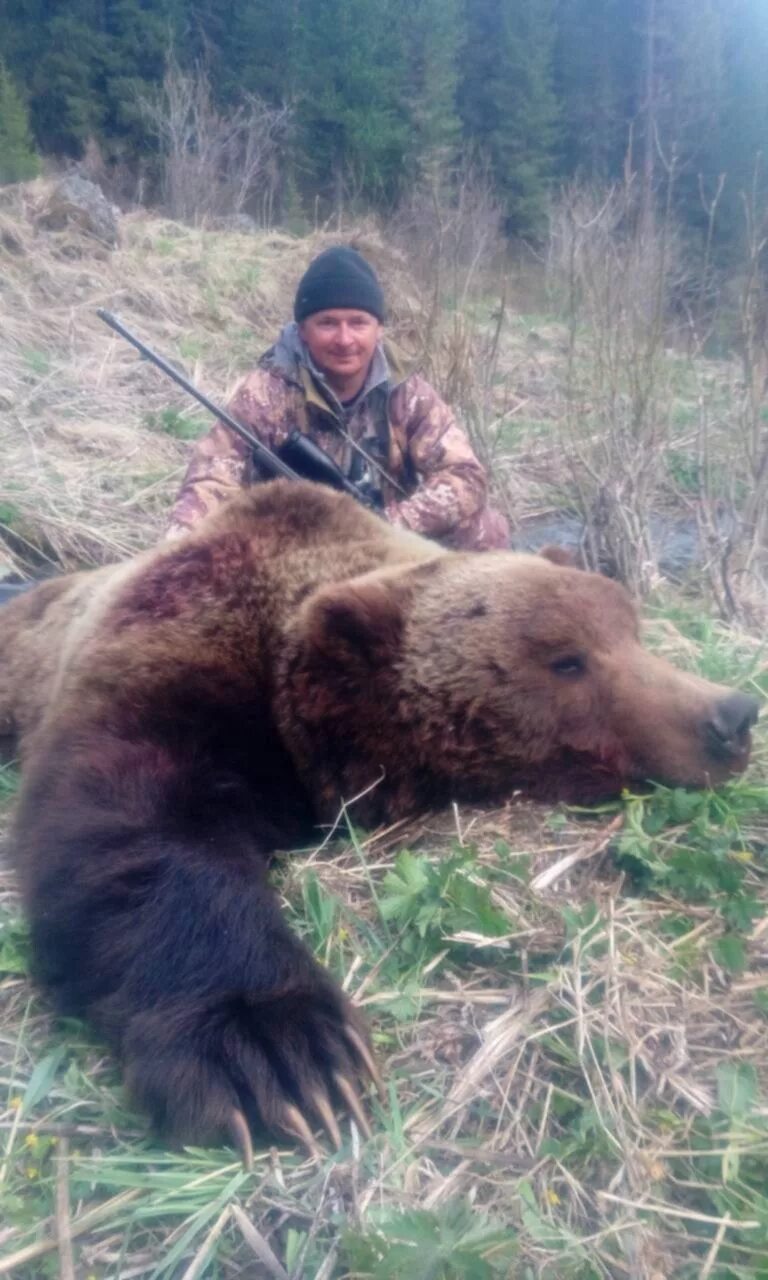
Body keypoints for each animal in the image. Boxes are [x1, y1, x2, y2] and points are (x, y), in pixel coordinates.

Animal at [0, 481, 757, 1162]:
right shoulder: (171, 648)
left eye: (632, 631)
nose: (733, 715)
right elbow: (135, 818)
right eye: (567, 659)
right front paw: (279, 1051)